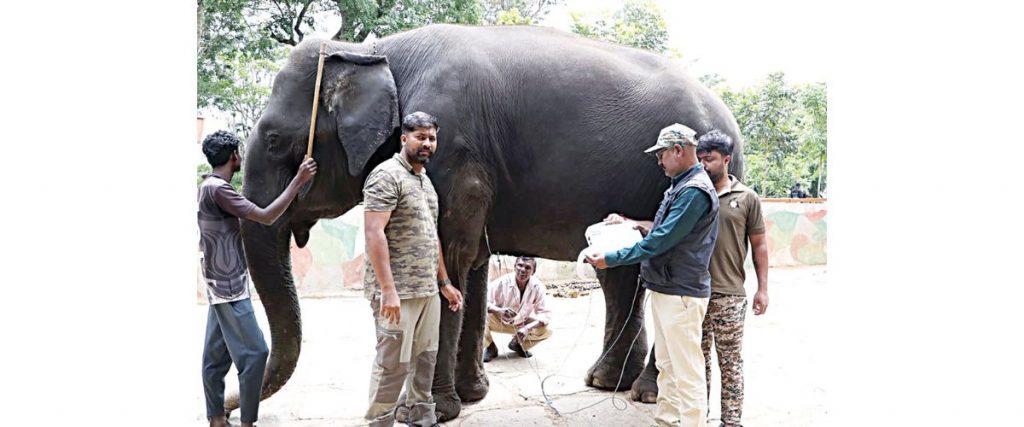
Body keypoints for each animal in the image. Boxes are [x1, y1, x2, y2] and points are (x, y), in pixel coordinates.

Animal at [232, 24, 744, 421]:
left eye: (274, 140)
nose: (233, 407)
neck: (373, 52)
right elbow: (470, 261)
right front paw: (471, 396)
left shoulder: (454, 150)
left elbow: (450, 251)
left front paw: (428, 412)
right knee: (622, 275)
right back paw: (606, 383)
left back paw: (650, 393)